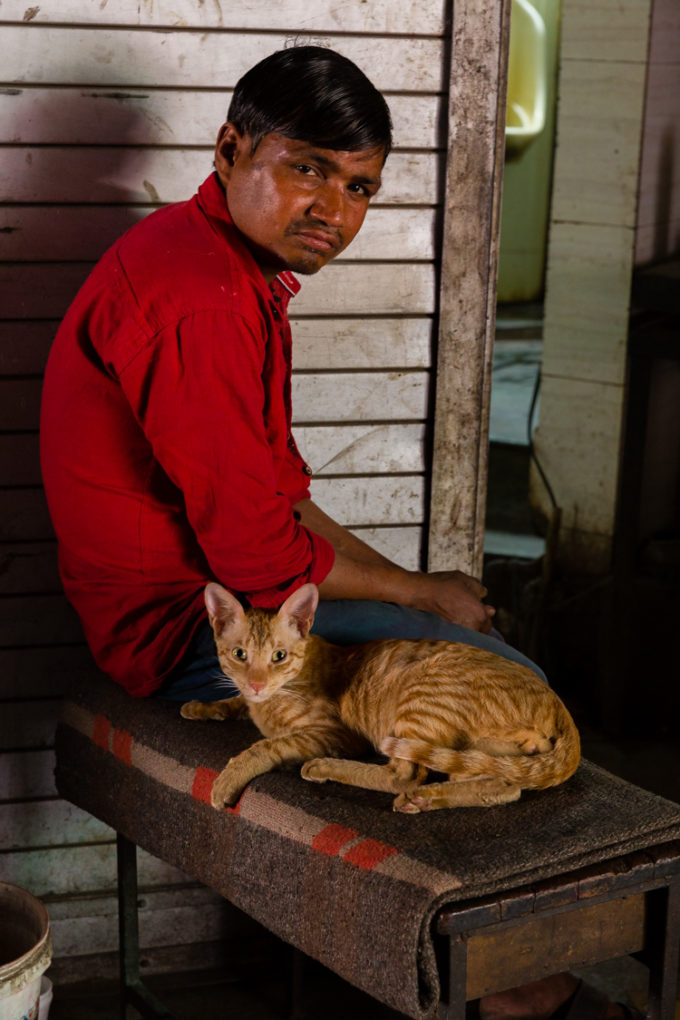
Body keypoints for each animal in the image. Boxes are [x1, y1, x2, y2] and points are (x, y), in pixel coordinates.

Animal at [180, 583, 579, 811]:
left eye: (279, 656)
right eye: (240, 655)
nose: (258, 684)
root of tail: (560, 706)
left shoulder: (334, 733)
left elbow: (266, 746)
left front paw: (228, 779)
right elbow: (235, 703)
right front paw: (204, 705)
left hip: (420, 699)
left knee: (405, 775)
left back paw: (325, 767)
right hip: (487, 756)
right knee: (507, 785)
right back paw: (428, 800)